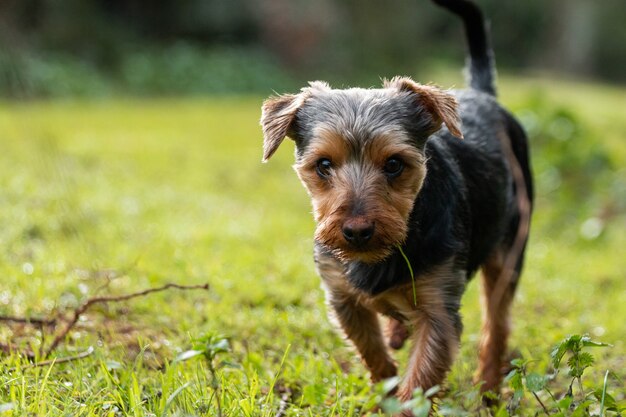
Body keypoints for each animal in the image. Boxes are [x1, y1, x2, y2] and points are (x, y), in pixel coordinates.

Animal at [258, 0, 532, 410]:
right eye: (323, 164)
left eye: (394, 164)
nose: (357, 231)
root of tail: (482, 95)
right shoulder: (343, 298)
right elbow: (374, 354)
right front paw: (383, 390)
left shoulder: (439, 309)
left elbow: (418, 382)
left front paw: (400, 404)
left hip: (510, 247)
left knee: (496, 324)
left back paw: (488, 391)